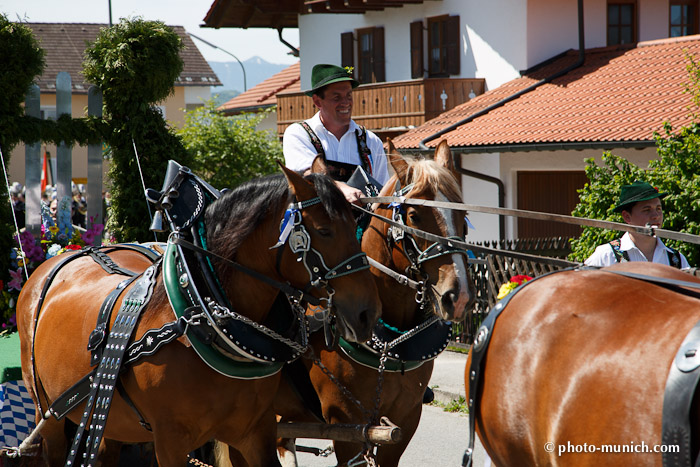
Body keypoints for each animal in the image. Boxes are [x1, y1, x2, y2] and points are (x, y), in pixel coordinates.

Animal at [16, 166, 380, 466]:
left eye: (356, 224)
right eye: (324, 230)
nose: (367, 313)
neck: (200, 316)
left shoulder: (255, 433)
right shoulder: (170, 442)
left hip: (106, 419)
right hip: (49, 415)